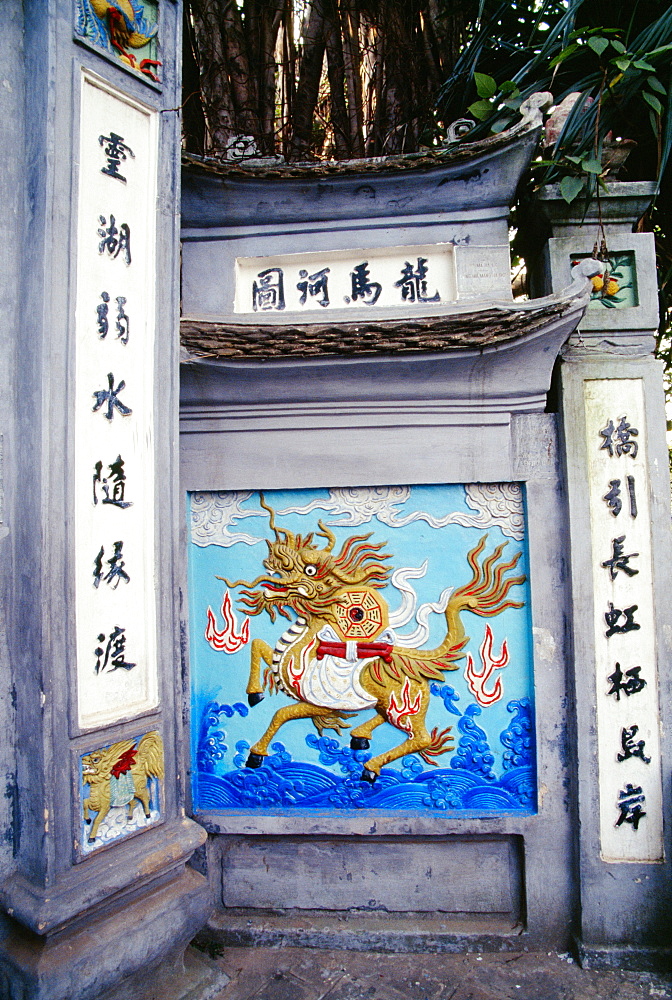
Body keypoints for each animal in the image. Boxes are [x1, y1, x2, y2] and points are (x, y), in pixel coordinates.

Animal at [226, 496, 524, 784]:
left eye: (309, 571)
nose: (273, 572)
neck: (307, 650)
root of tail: (417, 661)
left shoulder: (315, 702)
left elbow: (281, 714)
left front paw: (255, 755)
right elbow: (257, 645)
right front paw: (255, 694)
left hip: (404, 705)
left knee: (420, 737)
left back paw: (370, 768)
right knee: (384, 719)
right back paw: (360, 737)